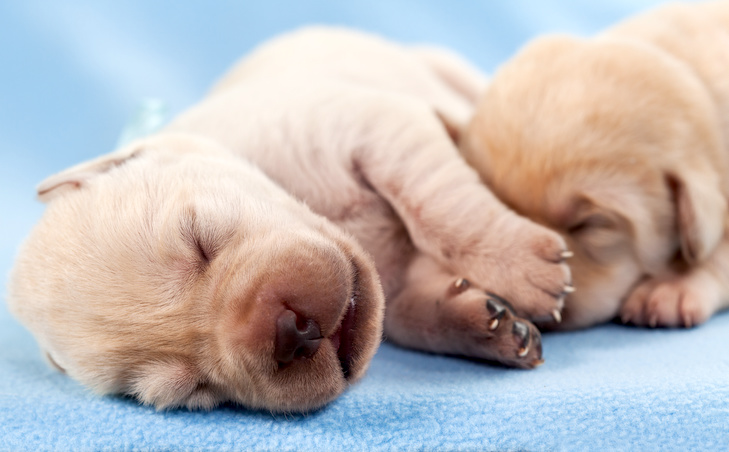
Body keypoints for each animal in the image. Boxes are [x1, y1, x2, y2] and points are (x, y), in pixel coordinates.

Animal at [8, 25, 572, 414]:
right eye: (194, 389)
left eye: (200, 240)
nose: (290, 333)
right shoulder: (394, 285)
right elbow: (414, 313)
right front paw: (481, 322)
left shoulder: (377, 126)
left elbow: (441, 206)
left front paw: (523, 268)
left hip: (442, 66)